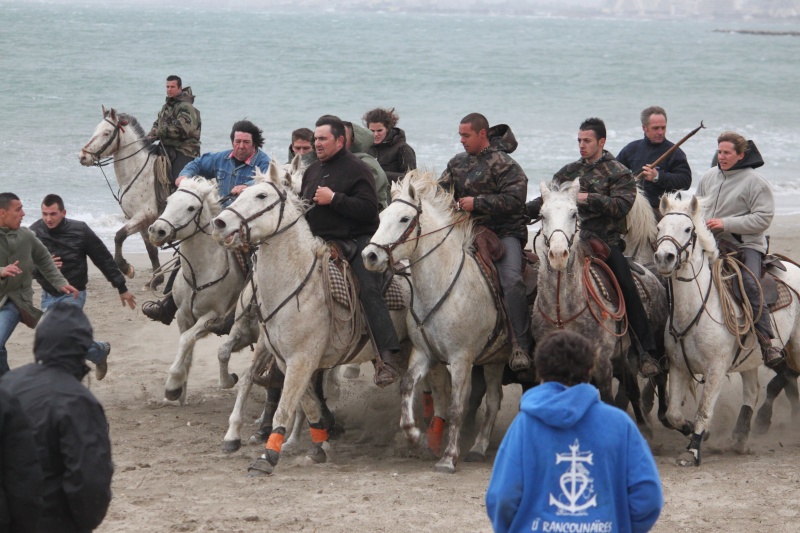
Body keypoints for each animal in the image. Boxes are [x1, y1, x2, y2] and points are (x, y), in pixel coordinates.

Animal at [79, 107, 164, 282]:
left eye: (106, 132)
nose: (82, 156)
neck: (137, 170)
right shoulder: (141, 220)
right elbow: (151, 249)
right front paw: (156, 279)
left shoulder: (144, 215)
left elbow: (119, 236)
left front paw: (126, 268)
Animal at [147, 177, 247, 402]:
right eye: (168, 201)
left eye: (191, 208)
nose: (157, 230)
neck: (201, 271)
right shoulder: (183, 315)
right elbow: (187, 343)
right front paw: (179, 391)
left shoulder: (211, 316)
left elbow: (186, 340)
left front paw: (173, 382)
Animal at [212, 162, 412, 474]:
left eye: (261, 196)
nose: (219, 223)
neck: (294, 284)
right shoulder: (286, 357)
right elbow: (305, 402)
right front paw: (318, 446)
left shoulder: (301, 359)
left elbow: (286, 406)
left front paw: (267, 457)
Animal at [360, 168, 506, 472]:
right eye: (381, 216)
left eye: (404, 219)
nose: (370, 256)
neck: (443, 285)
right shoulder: (424, 353)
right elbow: (407, 385)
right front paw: (413, 433)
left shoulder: (461, 358)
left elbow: (456, 407)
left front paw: (448, 457)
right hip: (494, 358)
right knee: (494, 398)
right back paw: (478, 447)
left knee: (492, 401)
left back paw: (476, 447)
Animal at [652, 192, 800, 466]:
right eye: (659, 227)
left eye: (688, 229)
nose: (664, 257)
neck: (697, 307)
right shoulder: (678, 367)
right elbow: (674, 413)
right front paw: (697, 433)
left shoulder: (716, 370)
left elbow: (703, 410)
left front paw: (693, 450)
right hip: (751, 357)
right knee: (752, 392)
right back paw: (740, 436)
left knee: (785, 375)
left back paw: (761, 420)